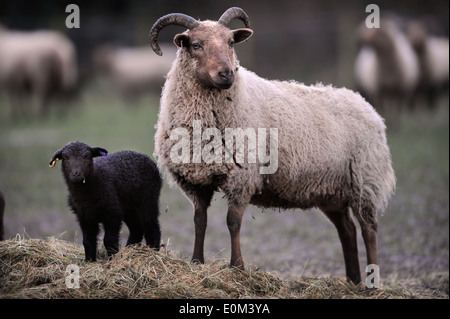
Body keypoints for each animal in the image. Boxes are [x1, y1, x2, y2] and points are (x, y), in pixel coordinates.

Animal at [149, 6, 396, 284]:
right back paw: (353, 280)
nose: (226, 74)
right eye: (195, 45)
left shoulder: (242, 176)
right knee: (347, 229)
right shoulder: (194, 180)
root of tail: (364, 104)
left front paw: (237, 268)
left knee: (369, 229)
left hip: (365, 181)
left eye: (231, 42)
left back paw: (371, 284)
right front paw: (196, 262)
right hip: (332, 190)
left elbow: (232, 222)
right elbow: (199, 220)